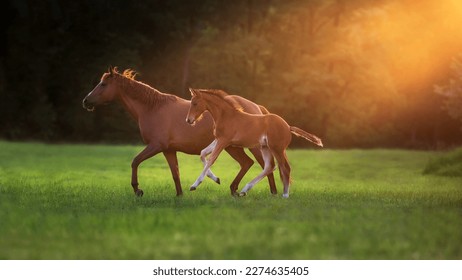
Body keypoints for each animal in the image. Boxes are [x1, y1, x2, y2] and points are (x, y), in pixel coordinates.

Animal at [81, 66, 276, 196]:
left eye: (103, 84)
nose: (86, 101)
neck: (152, 108)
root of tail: (256, 107)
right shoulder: (168, 150)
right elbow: (175, 173)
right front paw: (180, 195)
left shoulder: (156, 146)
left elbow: (135, 161)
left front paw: (137, 189)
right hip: (232, 147)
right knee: (247, 163)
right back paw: (234, 189)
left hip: (250, 147)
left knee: (266, 165)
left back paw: (272, 192)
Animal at [186, 88, 324, 198]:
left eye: (195, 103)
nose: (188, 120)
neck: (226, 116)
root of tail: (288, 126)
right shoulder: (219, 140)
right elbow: (202, 153)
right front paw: (216, 179)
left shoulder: (224, 141)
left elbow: (211, 159)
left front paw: (194, 185)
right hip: (265, 147)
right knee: (270, 166)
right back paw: (244, 190)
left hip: (277, 149)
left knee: (284, 167)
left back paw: (285, 195)